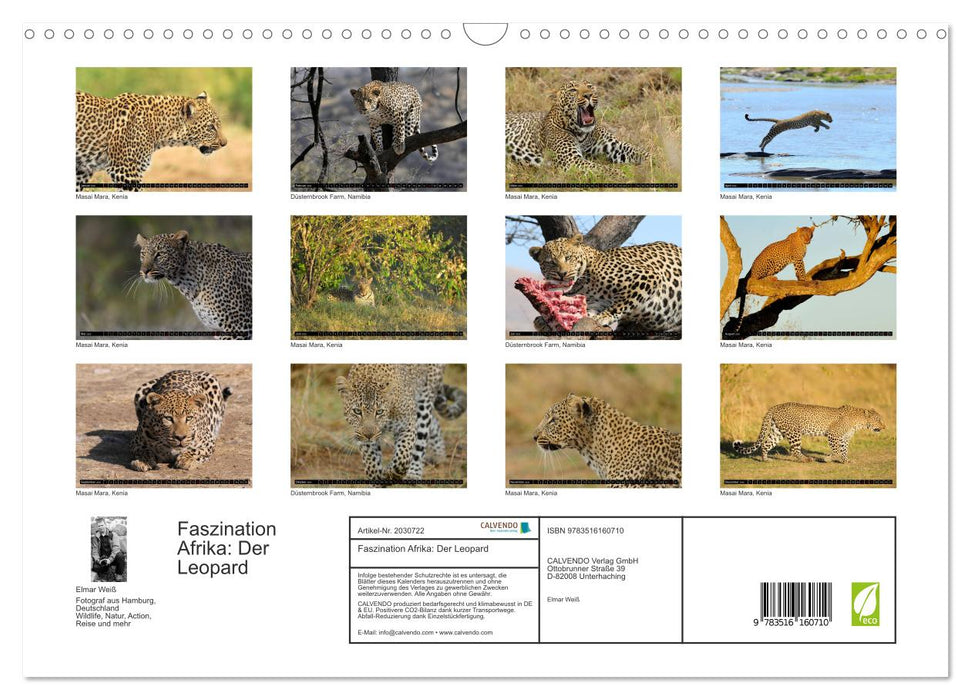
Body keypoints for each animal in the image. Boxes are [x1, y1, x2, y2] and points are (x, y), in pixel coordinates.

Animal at [335, 364, 466, 485]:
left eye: (379, 411)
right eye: (357, 411)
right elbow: (371, 460)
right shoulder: (361, 435)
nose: (369, 435)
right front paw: (377, 478)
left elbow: (403, 456)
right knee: (434, 422)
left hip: (424, 401)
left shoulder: (408, 424)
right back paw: (439, 455)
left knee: (421, 441)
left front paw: (390, 473)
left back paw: (414, 473)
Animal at [505, 80, 651, 173]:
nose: (588, 95)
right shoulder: (571, 160)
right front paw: (623, 176)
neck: (582, 134)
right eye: (573, 90)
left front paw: (653, 162)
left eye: (590, 86)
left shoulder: (614, 146)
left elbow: (639, 151)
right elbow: (603, 169)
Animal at [528, 234, 681, 338]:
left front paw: (603, 317)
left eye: (568, 257)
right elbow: (583, 314)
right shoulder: (596, 302)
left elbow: (621, 304)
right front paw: (544, 321)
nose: (562, 274)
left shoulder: (647, 276)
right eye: (550, 262)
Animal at [732, 402, 886, 463]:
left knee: (765, 444)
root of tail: (775, 406)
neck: (859, 422)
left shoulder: (844, 438)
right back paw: (806, 459)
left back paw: (766, 459)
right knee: (794, 450)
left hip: (778, 431)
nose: (884, 427)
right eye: (878, 420)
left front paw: (846, 461)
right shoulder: (833, 435)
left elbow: (843, 450)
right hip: (794, 432)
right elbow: (836, 450)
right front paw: (827, 459)